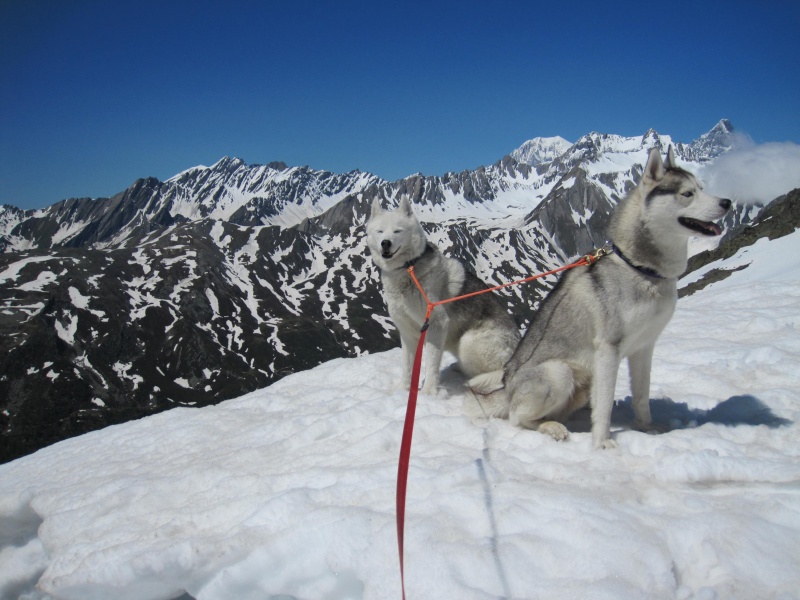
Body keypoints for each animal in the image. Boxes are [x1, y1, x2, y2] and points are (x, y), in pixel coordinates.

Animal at [368, 196, 520, 394]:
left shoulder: (436, 325)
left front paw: (428, 393)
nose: (385, 242)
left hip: (468, 343)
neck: (409, 270)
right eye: (380, 231)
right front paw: (403, 390)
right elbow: (407, 366)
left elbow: (431, 364)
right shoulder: (407, 333)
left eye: (397, 231)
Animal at [468, 144, 732, 446]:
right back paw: (551, 427)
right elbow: (605, 403)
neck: (641, 269)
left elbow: (642, 396)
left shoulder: (644, 347)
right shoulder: (608, 348)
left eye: (702, 187)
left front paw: (646, 428)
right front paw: (602, 442)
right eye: (687, 194)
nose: (727, 202)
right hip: (559, 373)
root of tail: (507, 385)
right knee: (517, 418)